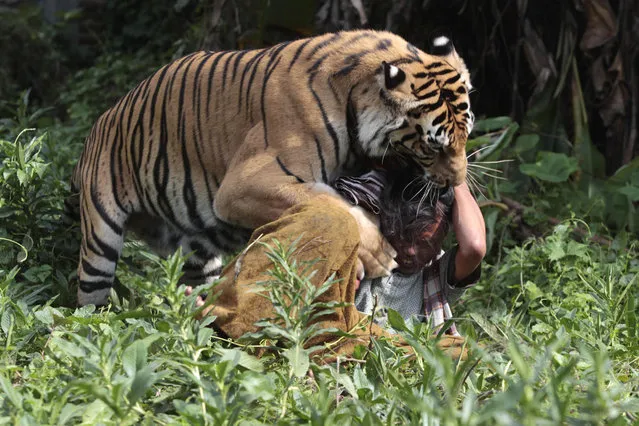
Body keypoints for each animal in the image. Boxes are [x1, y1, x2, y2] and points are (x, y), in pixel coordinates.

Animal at [71, 29, 476, 306]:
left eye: (466, 135)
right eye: (433, 145)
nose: (453, 183)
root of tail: (99, 123)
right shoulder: (242, 184)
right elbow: (331, 205)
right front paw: (374, 250)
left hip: (198, 252)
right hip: (99, 245)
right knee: (88, 307)